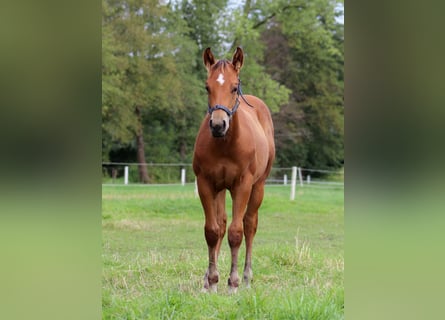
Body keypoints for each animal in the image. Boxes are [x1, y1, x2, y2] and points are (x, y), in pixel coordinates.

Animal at [192, 46, 274, 294]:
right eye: (207, 87)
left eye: (234, 87)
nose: (218, 125)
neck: (225, 145)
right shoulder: (206, 183)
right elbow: (212, 231)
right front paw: (211, 281)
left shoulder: (242, 185)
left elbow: (236, 233)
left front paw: (233, 283)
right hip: (220, 189)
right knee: (221, 225)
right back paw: (208, 280)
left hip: (258, 187)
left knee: (249, 224)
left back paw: (246, 278)